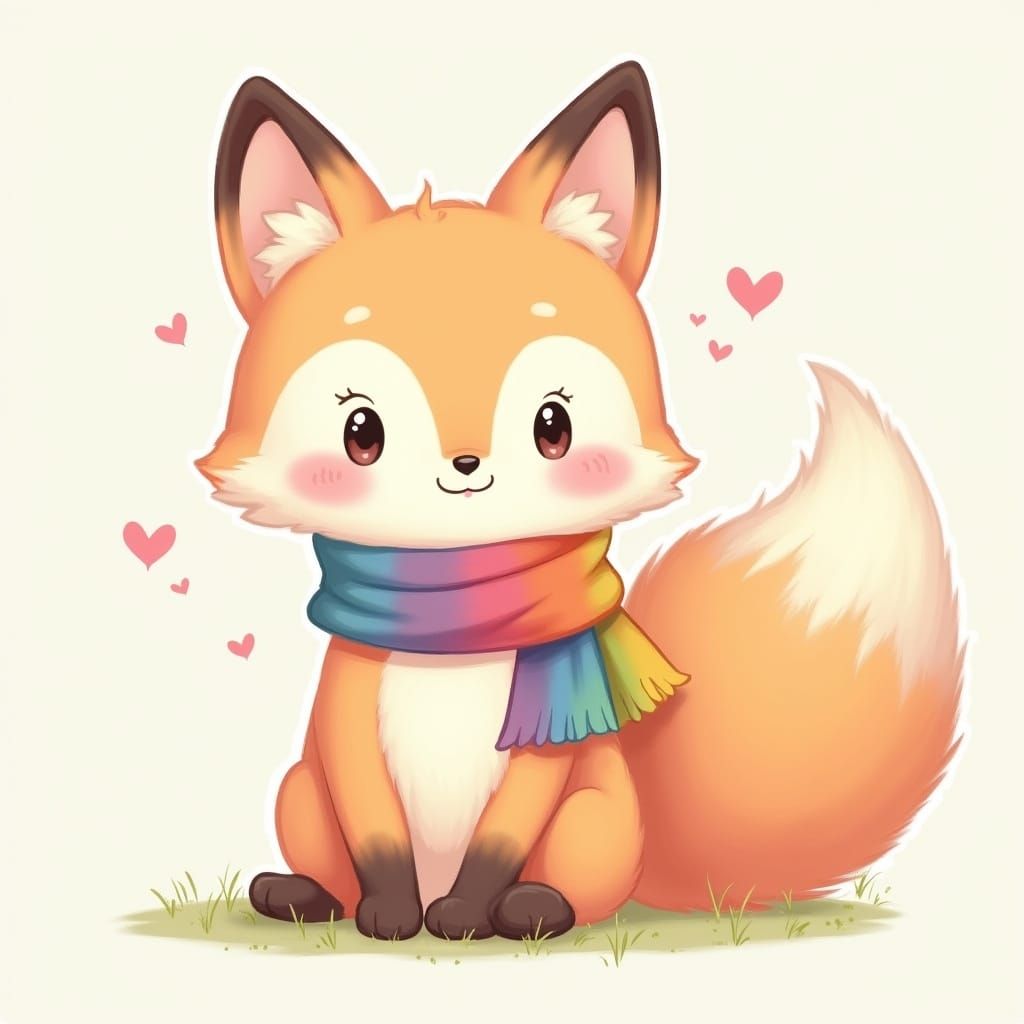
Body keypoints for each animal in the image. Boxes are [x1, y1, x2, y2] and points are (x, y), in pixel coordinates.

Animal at [196, 61, 964, 941]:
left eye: (552, 427)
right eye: (362, 431)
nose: (466, 467)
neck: (455, 626)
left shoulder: (543, 754)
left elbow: (502, 837)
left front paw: (464, 916)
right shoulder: (346, 718)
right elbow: (375, 832)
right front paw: (391, 914)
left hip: (596, 816)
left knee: (580, 890)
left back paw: (531, 907)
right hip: (298, 792)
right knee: (324, 859)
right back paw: (302, 896)